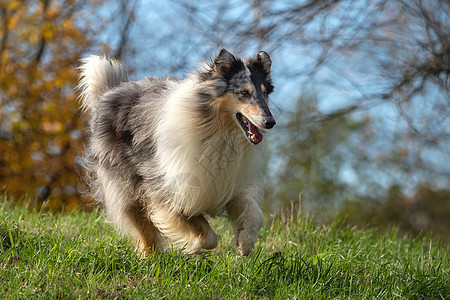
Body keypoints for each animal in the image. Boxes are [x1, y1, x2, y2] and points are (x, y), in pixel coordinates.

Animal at [76, 48, 274, 255]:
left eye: (265, 93)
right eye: (244, 92)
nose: (270, 122)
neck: (217, 131)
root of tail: (110, 92)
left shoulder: (230, 185)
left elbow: (255, 214)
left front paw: (245, 243)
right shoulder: (166, 190)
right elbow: (208, 236)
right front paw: (192, 246)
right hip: (127, 187)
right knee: (145, 232)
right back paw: (150, 257)